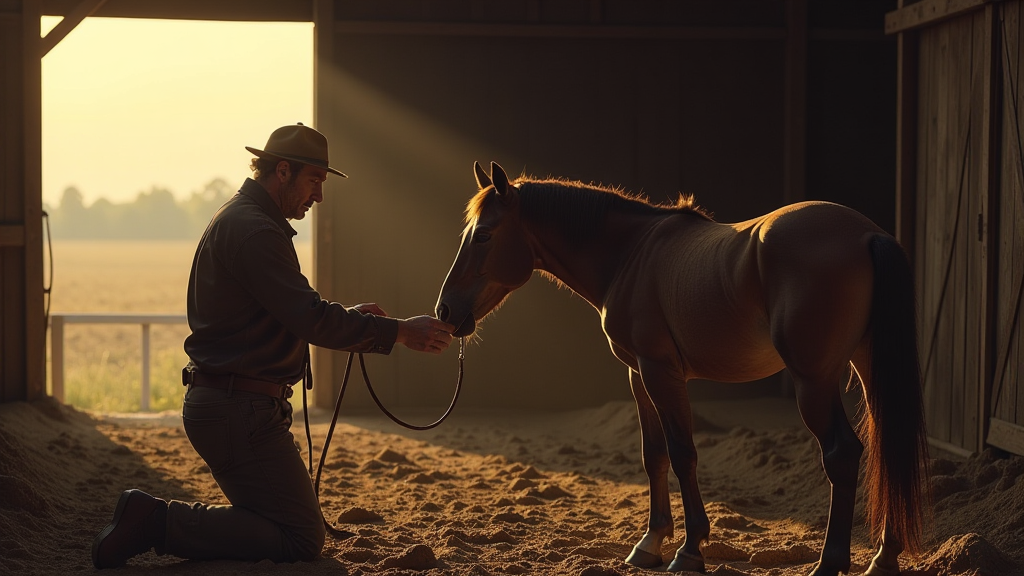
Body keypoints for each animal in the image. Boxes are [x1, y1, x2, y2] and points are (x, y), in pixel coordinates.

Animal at [432, 159, 929, 573]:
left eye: (484, 234)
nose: (445, 311)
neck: (630, 255)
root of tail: (867, 235)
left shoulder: (659, 371)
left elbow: (681, 453)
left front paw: (689, 550)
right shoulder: (638, 374)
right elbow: (653, 455)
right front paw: (650, 544)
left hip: (814, 381)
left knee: (842, 454)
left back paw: (830, 562)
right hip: (865, 370)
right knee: (884, 445)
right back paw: (882, 558)